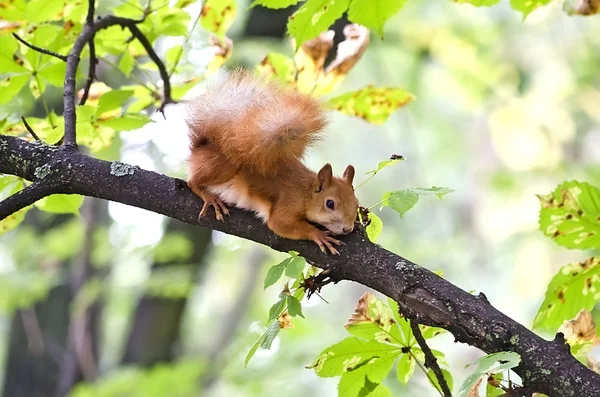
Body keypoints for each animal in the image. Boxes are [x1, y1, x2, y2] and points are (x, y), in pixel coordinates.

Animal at [185, 68, 358, 254]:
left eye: (356, 204)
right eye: (330, 203)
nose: (347, 229)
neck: (306, 192)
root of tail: (201, 148)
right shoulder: (288, 203)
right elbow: (279, 224)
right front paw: (318, 234)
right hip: (224, 167)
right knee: (192, 182)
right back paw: (210, 197)